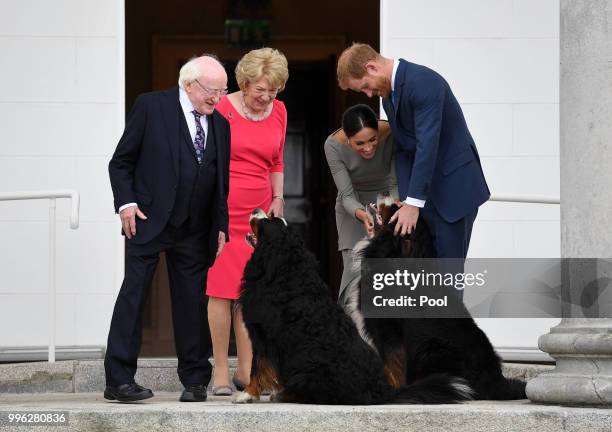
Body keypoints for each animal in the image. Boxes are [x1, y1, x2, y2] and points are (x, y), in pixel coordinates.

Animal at [234, 209, 474, 404]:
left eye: (268, 220)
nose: (255, 209)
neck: (283, 269)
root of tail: (383, 391)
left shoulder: (263, 336)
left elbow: (258, 366)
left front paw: (247, 394)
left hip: (307, 369)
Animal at [344, 195, 524, 398]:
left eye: (396, 208)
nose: (386, 194)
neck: (396, 255)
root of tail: (495, 380)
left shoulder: (388, 332)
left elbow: (392, 366)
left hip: (431, 349)